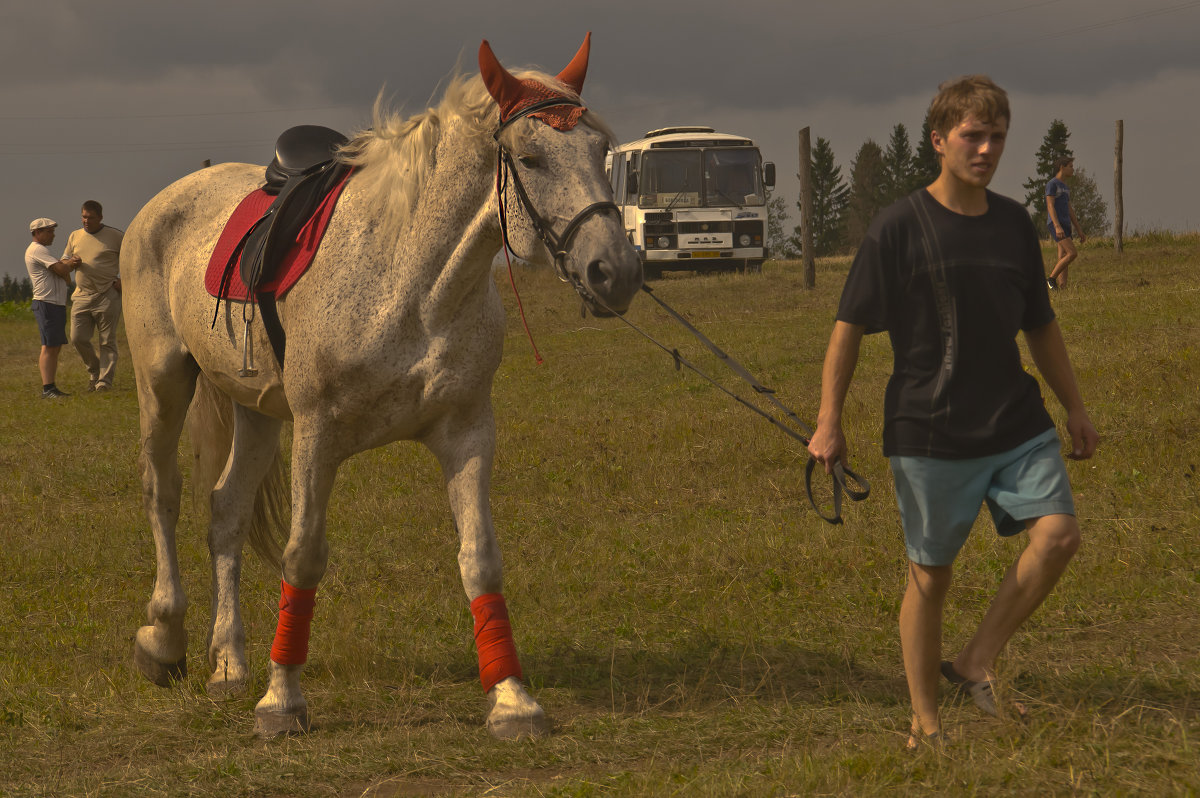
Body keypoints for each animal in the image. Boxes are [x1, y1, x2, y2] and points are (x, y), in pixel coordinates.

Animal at [121, 35, 643, 734]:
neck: (413, 282)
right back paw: (164, 639)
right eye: (531, 158)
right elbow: (302, 555)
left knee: (225, 512)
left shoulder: (466, 430)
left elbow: (480, 558)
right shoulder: (317, 433)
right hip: (163, 383)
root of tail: (168, 200)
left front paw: (512, 700)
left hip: (255, 410)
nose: (615, 271)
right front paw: (281, 701)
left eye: (599, 151)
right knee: (163, 493)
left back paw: (228, 662)